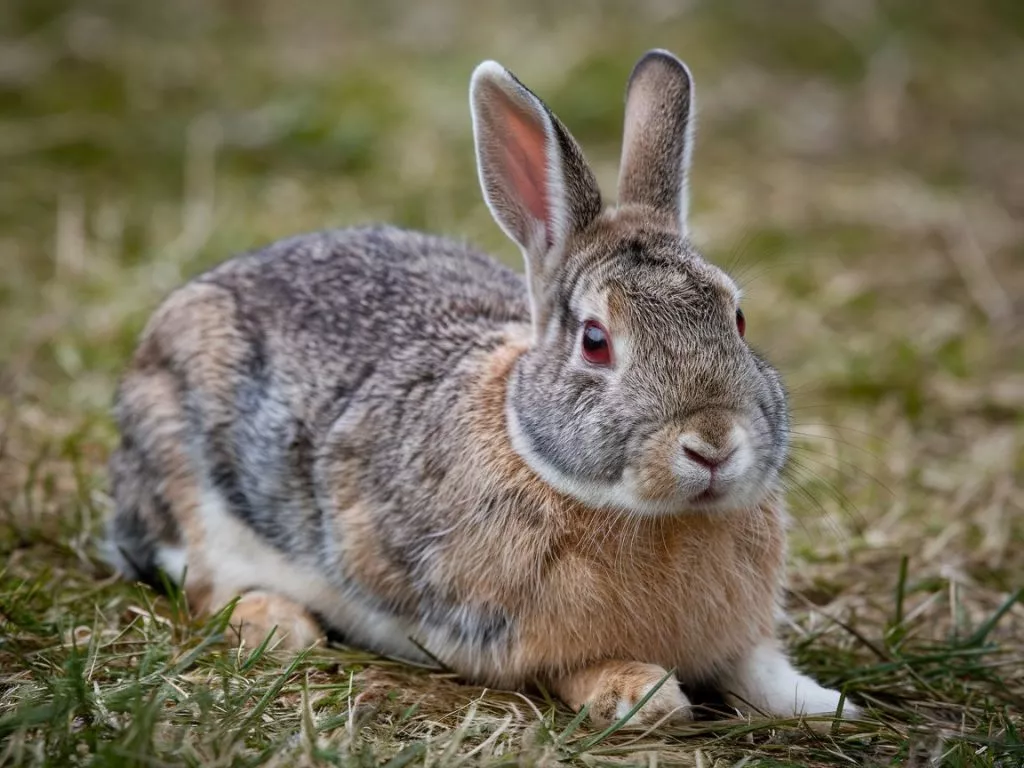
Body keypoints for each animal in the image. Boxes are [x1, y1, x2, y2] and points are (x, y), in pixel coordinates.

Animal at [104, 49, 860, 728]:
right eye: (596, 341)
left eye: (737, 318)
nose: (712, 444)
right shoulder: (495, 633)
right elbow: (569, 667)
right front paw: (638, 693)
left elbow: (759, 668)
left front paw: (826, 705)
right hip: (191, 478)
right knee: (207, 581)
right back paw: (280, 626)